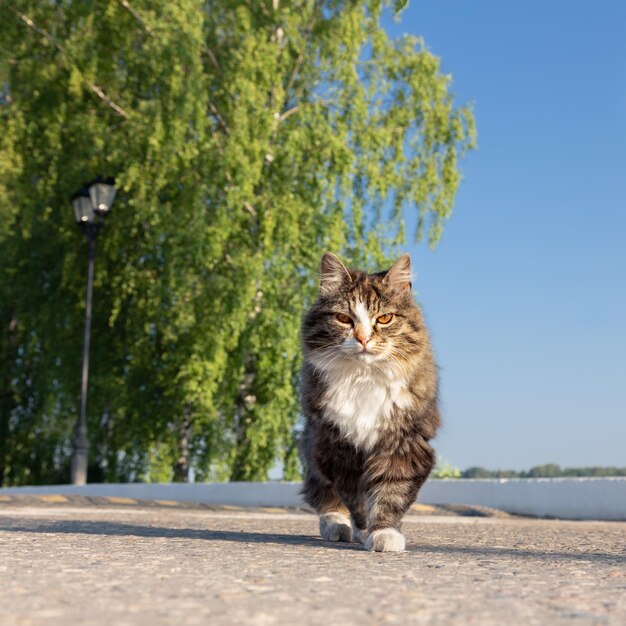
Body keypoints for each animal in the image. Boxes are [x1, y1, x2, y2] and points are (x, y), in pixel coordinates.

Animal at [298, 251, 438, 548]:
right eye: (343, 318)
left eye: (384, 318)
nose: (362, 339)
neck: (365, 379)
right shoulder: (337, 445)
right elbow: (356, 497)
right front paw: (364, 527)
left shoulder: (404, 442)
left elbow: (391, 492)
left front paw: (384, 533)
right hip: (313, 442)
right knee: (323, 493)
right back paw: (336, 526)